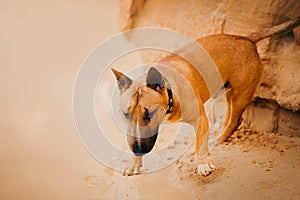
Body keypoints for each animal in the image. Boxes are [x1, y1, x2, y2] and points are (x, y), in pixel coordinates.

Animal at [112, 16, 300, 176]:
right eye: (126, 114)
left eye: (149, 113)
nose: (137, 150)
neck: (170, 91)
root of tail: (246, 39)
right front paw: (134, 163)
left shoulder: (200, 119)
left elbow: (200, 145)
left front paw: (203, 164)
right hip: (229, 93)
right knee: (229, 117)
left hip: (240, 96)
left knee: (235, 120)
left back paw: (220, 139)